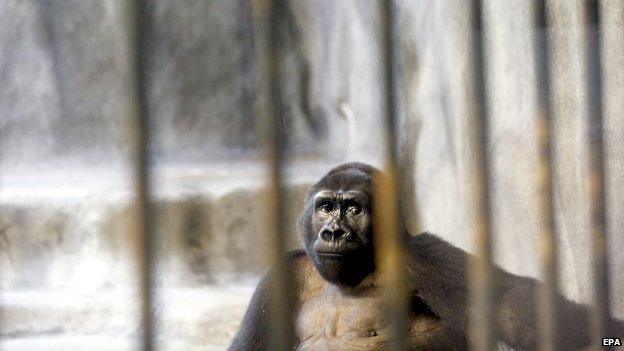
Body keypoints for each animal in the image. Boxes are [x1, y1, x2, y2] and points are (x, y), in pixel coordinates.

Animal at [229, 164, 624, 350]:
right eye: (325, 207)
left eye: (354, 210)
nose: (333, 233)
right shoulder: (285, 273)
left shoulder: (422, 255)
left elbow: (511, 310)